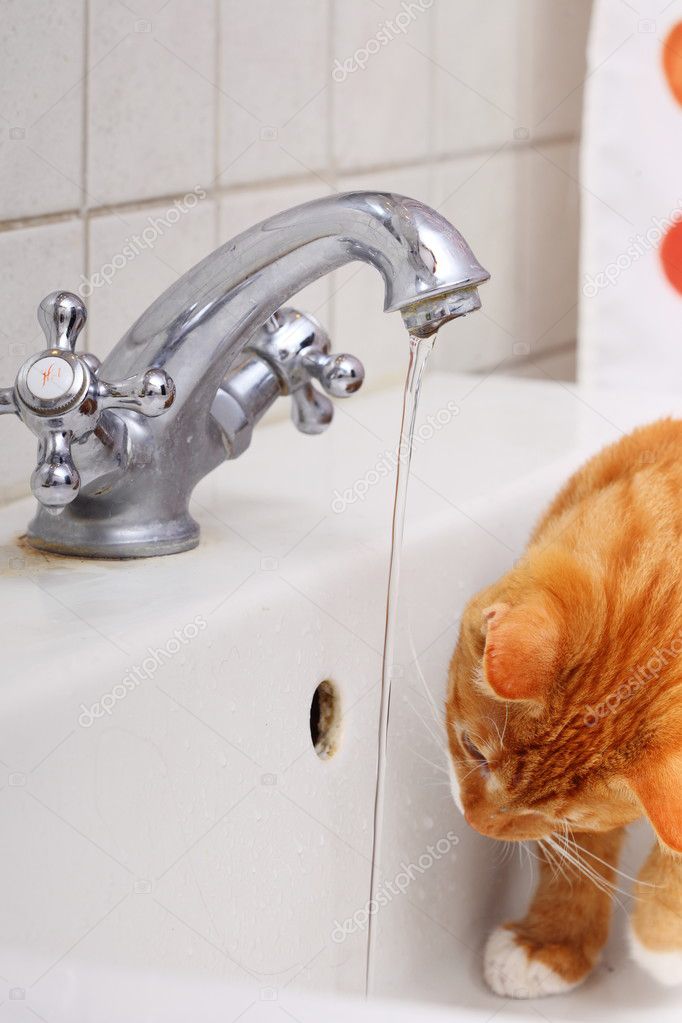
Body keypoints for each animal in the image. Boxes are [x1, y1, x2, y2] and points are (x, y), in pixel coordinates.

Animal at [445, 417, 682, 998]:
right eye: (473, 751)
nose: (479, 825)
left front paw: (661, 939)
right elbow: (573, 858)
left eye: (562, 812)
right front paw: (550, 944)